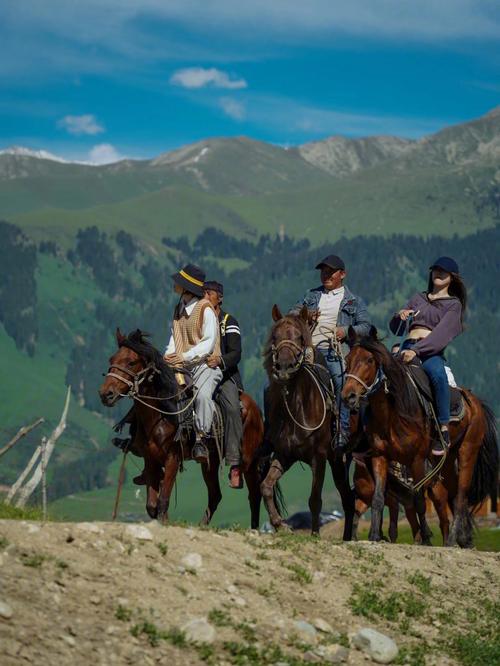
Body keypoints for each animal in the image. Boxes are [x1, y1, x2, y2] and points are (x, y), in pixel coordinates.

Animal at [98, 330, 270, 528]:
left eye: (131, 362)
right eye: (112, 359)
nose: (106, 394)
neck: (161, 414)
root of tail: (256, 409)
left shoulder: (172, 458)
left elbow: (163, 500)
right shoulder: (151, 459)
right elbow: (152, 505)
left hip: (249, 461)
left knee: (254, 494)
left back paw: (254, 528)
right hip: (210, 461)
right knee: (215, 495)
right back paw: (202, 526)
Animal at [258, 304, 356, 536]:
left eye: (300, 337)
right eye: (275, 336)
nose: (284, 367)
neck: (297, 407)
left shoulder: (318, 458)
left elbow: (314, 500)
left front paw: (315, 535)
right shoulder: (284, 454)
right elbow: (266, 486)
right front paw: (280, 524)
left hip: (338, 460)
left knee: (349, 500)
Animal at [342, 324, 498, 548]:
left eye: (370, 360)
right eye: (347, 359)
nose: (349, 396)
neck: (393, 413)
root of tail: (475, 402)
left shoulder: (416, 460)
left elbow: (418, 502)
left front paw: (425, 539)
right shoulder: (380, 457)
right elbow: (378, 498)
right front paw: (374, 536)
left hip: (467, 451)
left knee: (459, 496)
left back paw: (452, 540)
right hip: (447, 460)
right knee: (452, 495)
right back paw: (464, 539)